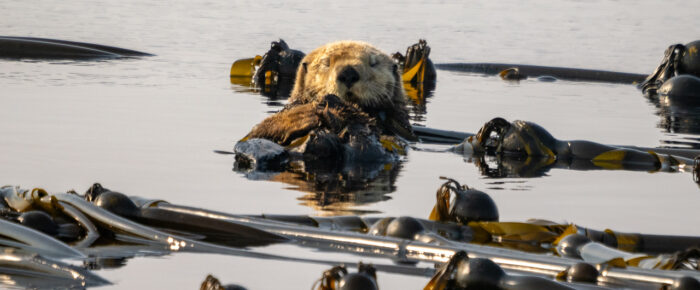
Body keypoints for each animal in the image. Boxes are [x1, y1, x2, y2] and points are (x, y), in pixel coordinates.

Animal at [235, 40, 416, 170]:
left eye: (373, 63)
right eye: (326, 63)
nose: (348, 73)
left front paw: (332, 106)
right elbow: (258, 129)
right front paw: (302, 114)